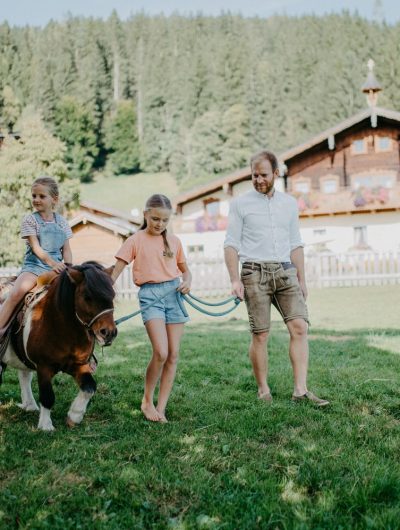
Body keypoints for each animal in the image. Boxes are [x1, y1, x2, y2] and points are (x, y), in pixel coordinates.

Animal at [0, 260, 117, 428]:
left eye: (112, 295)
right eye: (87, 297)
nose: (109, 333)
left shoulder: (78, 365)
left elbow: (89, 388)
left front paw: (74, 415)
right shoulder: (43, 367)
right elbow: (48, 396)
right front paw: (46, 425)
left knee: (24, 375)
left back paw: (30, 405)